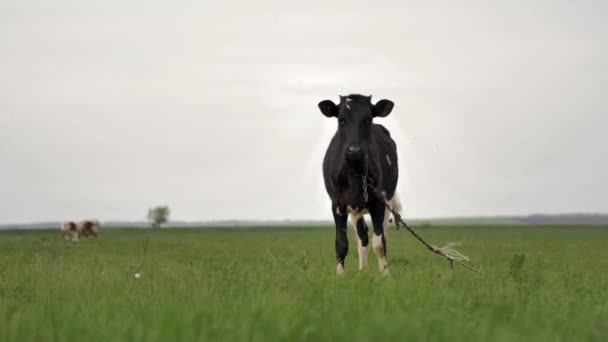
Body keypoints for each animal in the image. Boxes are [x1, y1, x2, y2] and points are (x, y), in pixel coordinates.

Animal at [318, 94, 404, 276]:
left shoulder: (379, 202)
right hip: (355, 209)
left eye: (367, 119)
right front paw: (340, 276)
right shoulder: (338, 204)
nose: (355, 150)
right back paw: (362, 271)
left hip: (386, 201)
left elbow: (379, 243)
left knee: (382, 234)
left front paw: (385, 275)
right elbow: (341, 243)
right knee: (362, 237)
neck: (356, 173)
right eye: (341, 120)